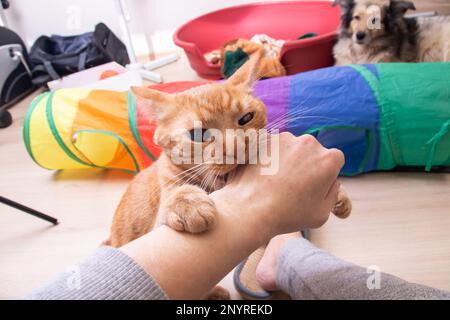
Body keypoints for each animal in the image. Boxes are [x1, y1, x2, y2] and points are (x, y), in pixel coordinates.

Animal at [105, 54, 352, 298]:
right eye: (198, 134)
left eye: (246, 118)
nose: (236, 147)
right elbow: (176, 192)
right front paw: (187, 202)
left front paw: (340, 196)